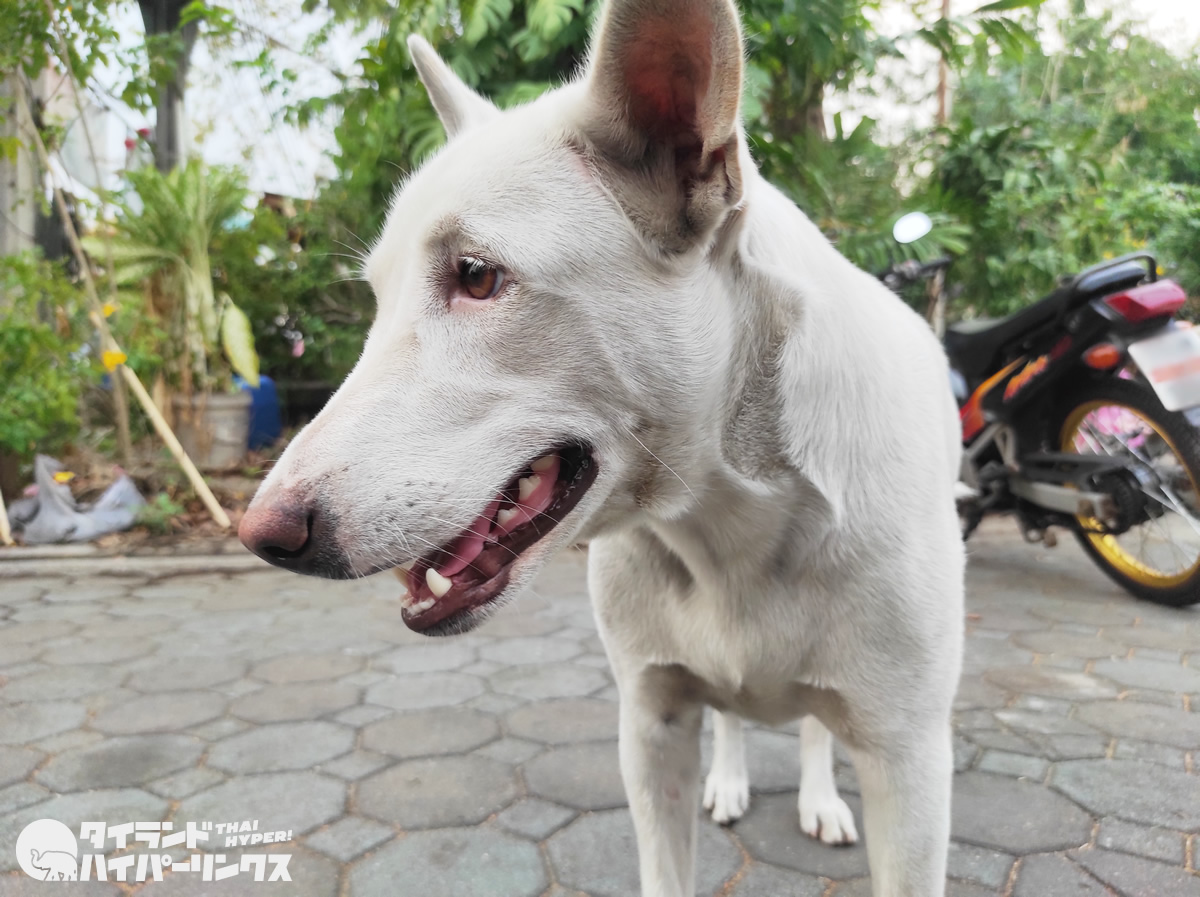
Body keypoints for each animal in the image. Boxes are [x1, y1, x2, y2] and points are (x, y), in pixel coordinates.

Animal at [241, 0, 964, 892]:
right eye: (378, 297)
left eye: (476, 275)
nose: (261, 534)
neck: (730, 524)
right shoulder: (651, 726)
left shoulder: (910, 762)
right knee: (734, 715)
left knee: (811, 726)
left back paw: (821, 797)